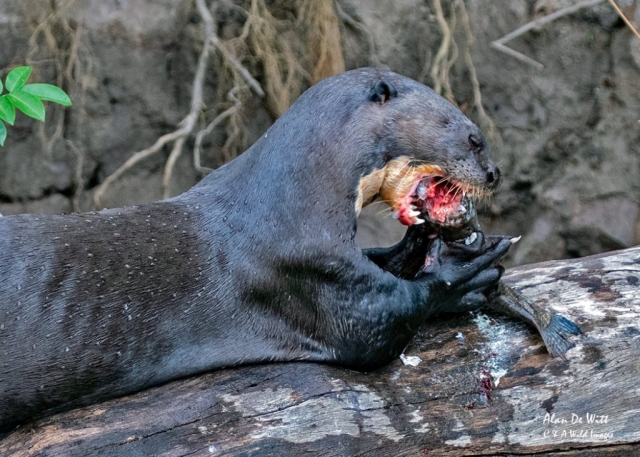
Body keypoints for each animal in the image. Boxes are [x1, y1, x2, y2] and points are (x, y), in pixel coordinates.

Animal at [0, 68, 511, 434]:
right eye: (474, 138)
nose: (494, 174)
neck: (293, 198)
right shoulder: (308, 267)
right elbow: (384, 322)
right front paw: (467, 275)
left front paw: (425, 243)